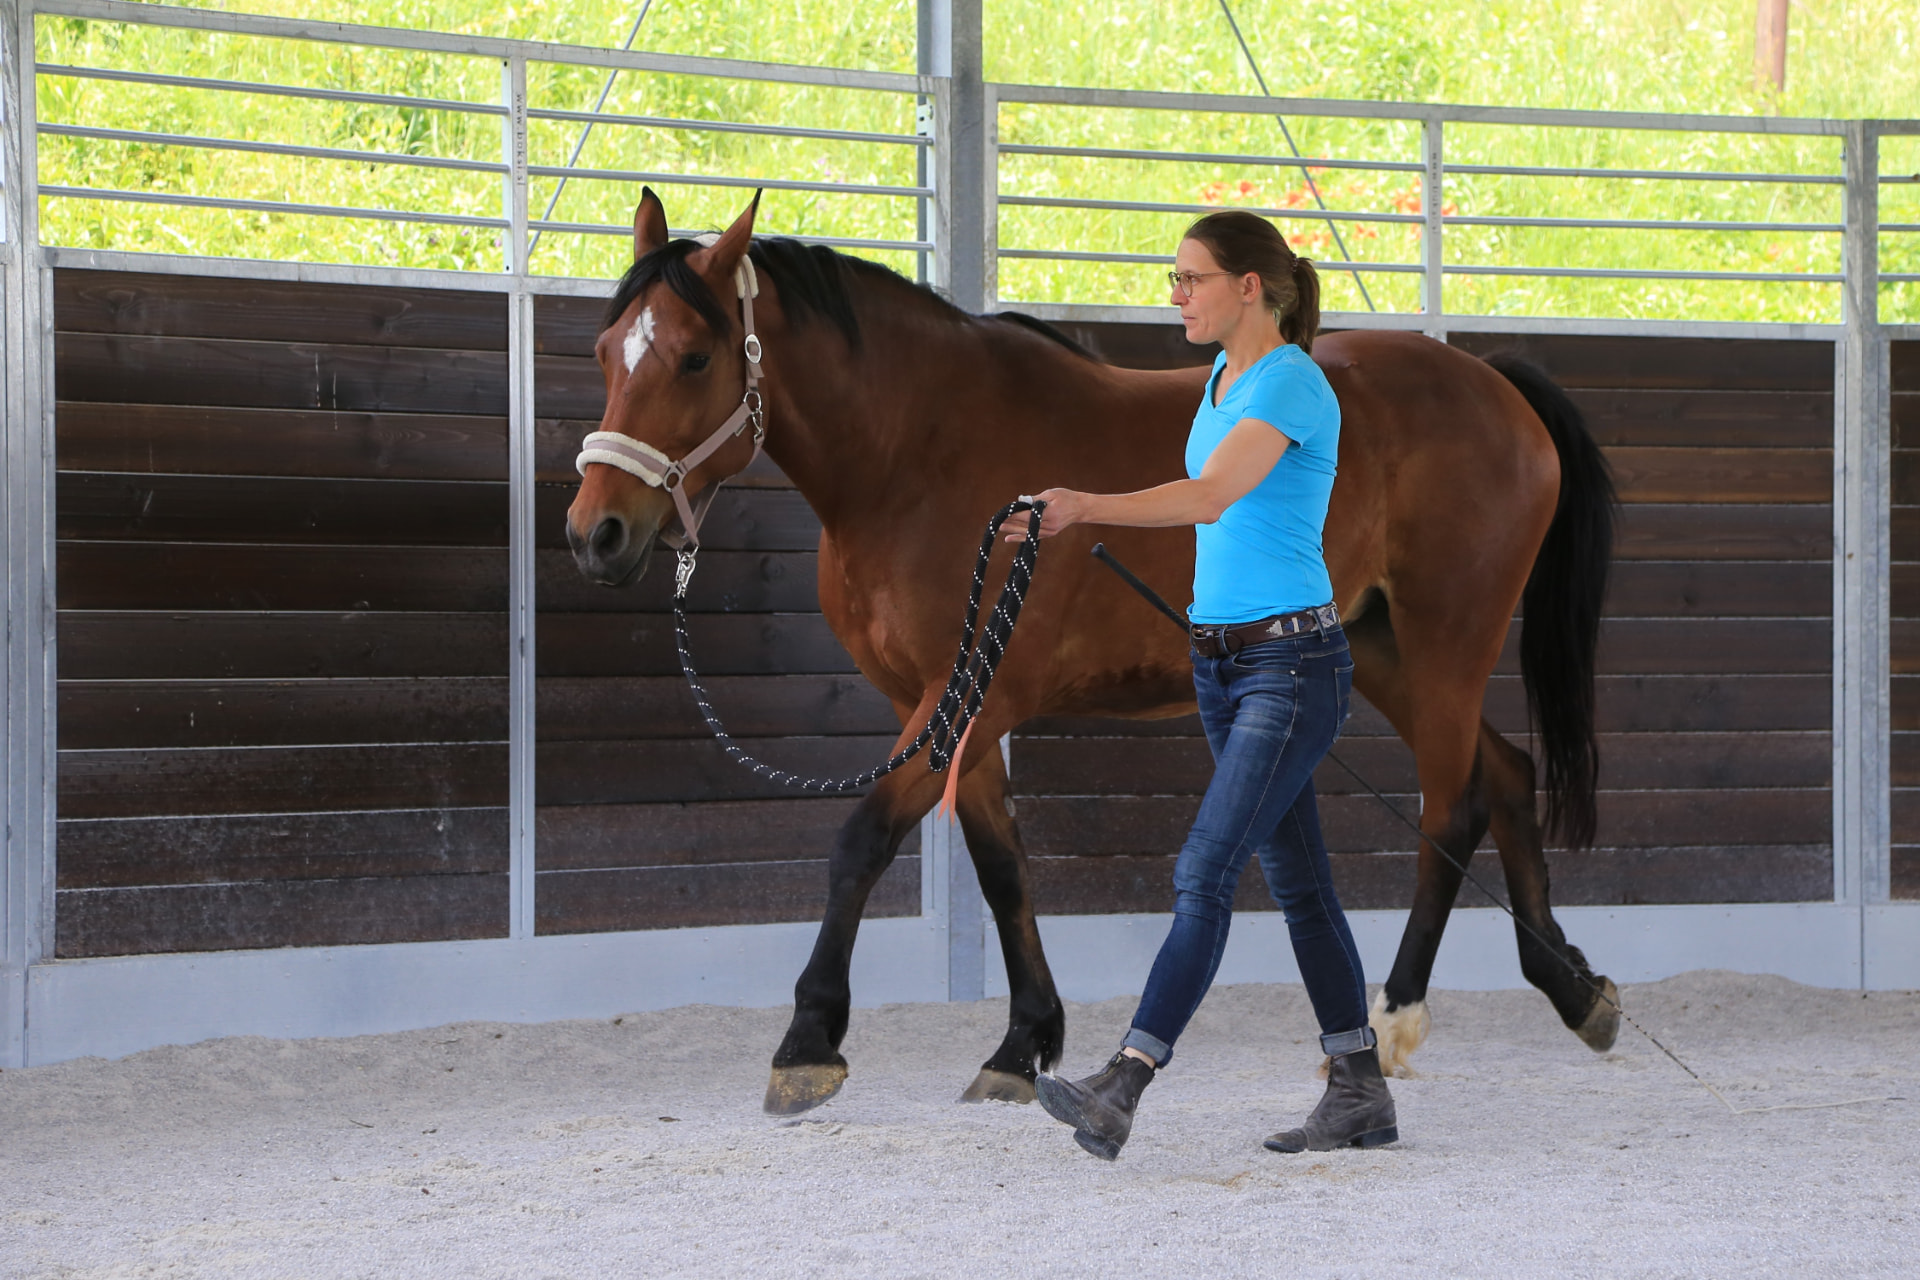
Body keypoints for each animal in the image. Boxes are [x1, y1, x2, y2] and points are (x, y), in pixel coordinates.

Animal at [567, 188, 1621, 1115]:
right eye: (606, 352)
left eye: (695, 357)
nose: (597, 534)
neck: (917, 456)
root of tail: (1495, 385)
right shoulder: (945, 704)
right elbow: (1000, 862)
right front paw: (1020, 1043)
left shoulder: (970, 694)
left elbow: (863, 840)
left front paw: (808, 1044)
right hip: (1380, 648)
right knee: (1506, 773)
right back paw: (1576, 990)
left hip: (1445, 645)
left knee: (1454, 805)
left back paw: (1396, 1019)